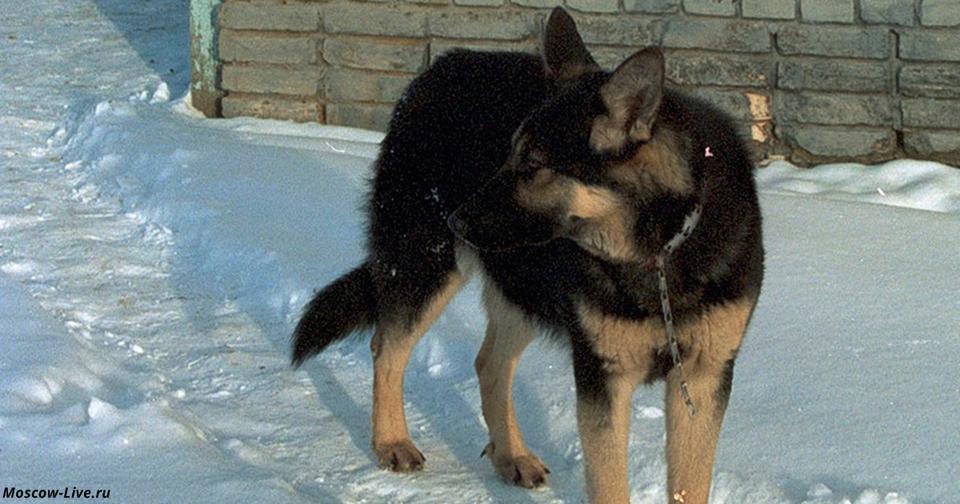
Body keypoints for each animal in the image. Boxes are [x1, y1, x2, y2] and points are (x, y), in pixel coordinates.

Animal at [292, 7, 764, 504]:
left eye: (533, 165)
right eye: (509, 154)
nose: (455, 220)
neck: (659, 251)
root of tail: (443, 64)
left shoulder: (703, 378)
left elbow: (690, 484)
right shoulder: (603, 378)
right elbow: (610, 483)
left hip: (522, 284)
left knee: (488, 364)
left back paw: (511, 456)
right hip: (428, 265)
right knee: (387, 345)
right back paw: (392, 441)